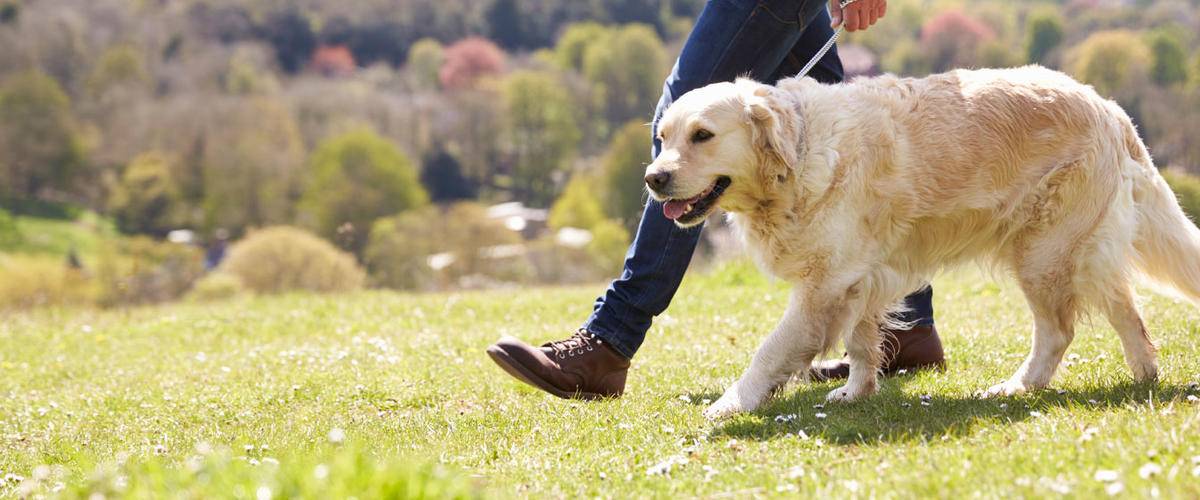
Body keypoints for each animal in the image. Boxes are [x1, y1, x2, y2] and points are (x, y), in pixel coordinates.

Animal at [643, 65, 1200, 417]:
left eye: (703, 135)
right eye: (663, 138)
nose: (654, 178)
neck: (797, 156)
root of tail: (1108, 107)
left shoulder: (824, 284)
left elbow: (771, 349)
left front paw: (730, 404)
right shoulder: (857, 277)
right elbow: (861, 341)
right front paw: (856, 392)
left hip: (1043, 253)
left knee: (1059, 331)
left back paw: (1017, 386)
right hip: (1075, 247)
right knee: (1127, 308)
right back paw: (1145, 374)